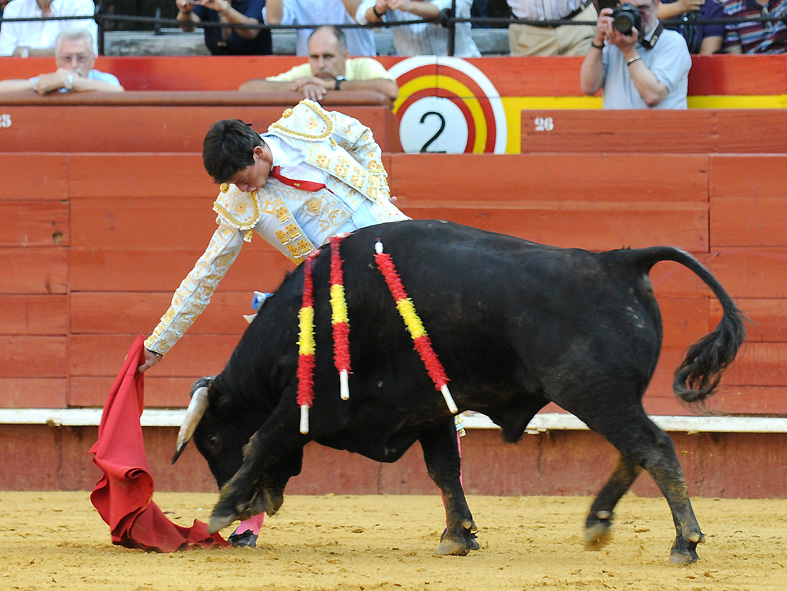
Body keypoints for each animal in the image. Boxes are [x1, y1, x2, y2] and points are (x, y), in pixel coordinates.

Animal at [172, 221, 744, 564]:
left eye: (212, 442)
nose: (249, 514)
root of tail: (618, 262)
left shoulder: (312, 403)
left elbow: (263, 440)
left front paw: (222, 508)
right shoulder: (427, 408)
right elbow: (444, 468)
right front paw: (458, 536)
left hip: (594, 393)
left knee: (655, 448)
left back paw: (684, 542)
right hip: (609, 397)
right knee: (635, 451)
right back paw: (597, 523)